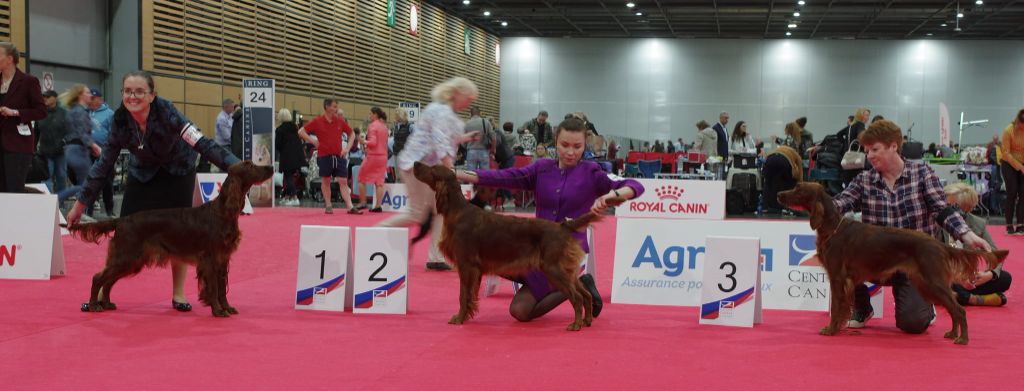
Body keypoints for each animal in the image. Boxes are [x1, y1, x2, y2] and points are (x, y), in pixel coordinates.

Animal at [69, 161, 274, 317]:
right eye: (250, 165)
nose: (271, 167)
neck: (223, 212)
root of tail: (122, 220)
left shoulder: (223, 259)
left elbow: (222, 289)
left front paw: (227, 308)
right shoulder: (210, 259)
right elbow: (215, 288)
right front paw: (217, 311)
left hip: (132, 260)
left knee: (109, 281)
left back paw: (106, 304)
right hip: (126, 256)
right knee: (98, 278)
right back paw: (94, 305)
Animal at [778, 182, 1003, 343]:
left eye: (798, 189)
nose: (779, 194)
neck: (832, 226)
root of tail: (938, 244)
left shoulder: (837, 277)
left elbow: (836, 306)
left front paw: (831, 329)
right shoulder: (846, 279)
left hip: (933, 282)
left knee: (959, 309)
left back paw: (962, 339)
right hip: (926, 284)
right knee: (952, 307)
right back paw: (952, 333)